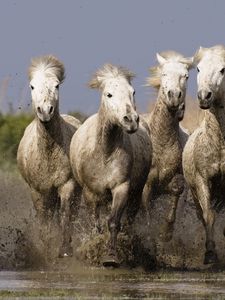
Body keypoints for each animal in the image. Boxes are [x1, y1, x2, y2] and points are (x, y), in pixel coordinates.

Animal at [17, 55, 81, 258]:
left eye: (56, 85)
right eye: (32, 86)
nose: (45, 110)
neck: (48, 153)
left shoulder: (67, 185)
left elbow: (65, 215)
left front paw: (65, 249)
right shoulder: (39, 191)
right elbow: (44, 219)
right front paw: (46, 248)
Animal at [69, 63, 152, 268]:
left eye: (132, 92)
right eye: (109, 94)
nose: (131, 120)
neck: (105, 152)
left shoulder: (121, 188)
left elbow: (114, 222)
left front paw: (111, 257)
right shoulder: (90, 193)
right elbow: (96, 224)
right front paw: (95, 248)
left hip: (136, 192)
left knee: (129, 219)